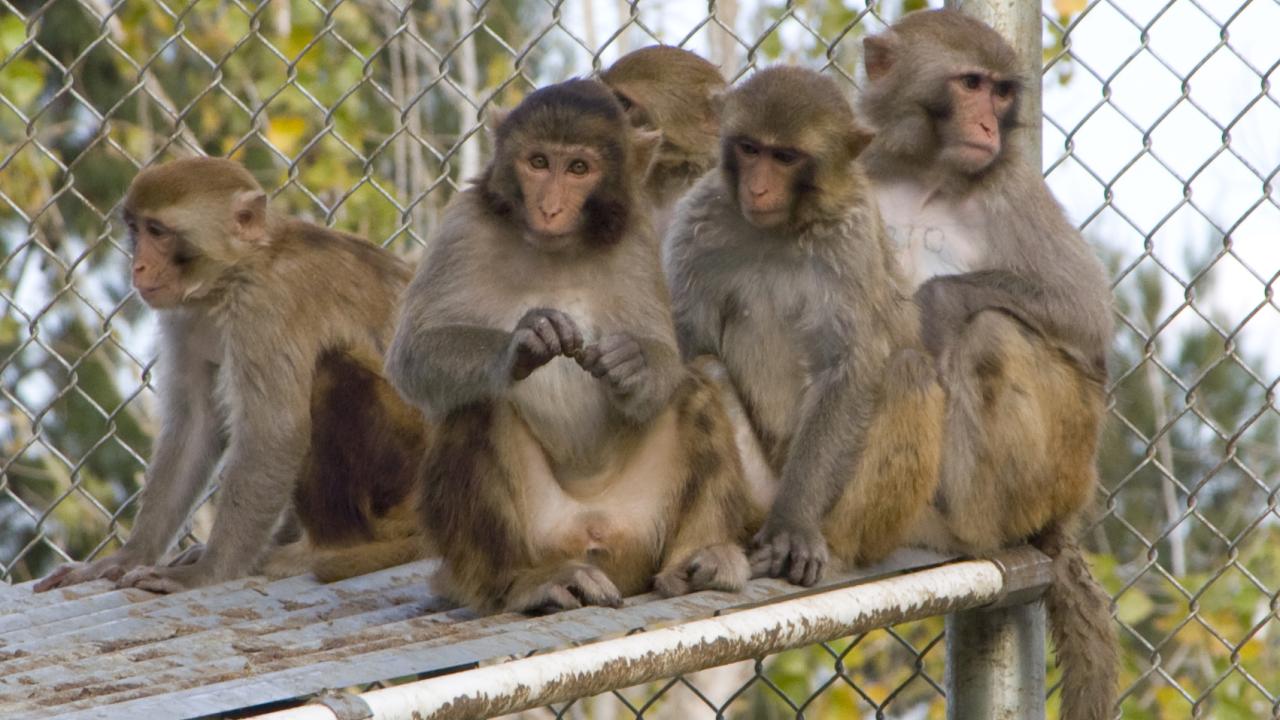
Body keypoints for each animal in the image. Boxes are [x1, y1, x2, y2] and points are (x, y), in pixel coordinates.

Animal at [34, 157, 431, 594]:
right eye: (136, 230)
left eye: (158, 232)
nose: (137, 266)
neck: (237, 273)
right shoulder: (184, 317)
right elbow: (194, 425)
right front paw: (130, 556)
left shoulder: (266, 307)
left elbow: (276, 433)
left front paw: (208, 573)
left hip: (406, 486)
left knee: (333, 371)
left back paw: (320, 549)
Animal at [385, 79, 751, 614]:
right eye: (538, 162)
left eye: (578, 168)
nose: (550, 207)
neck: (556, 247)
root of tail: (590, 526)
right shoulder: (462, 226)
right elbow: (413, 354)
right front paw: (523, 341)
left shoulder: (637, 237)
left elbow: (665, 353)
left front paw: (635, 364)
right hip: (538, 537)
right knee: (478, 403)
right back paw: (526, 581)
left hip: (640, 532)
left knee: (693, 390)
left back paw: (699, 556)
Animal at [663, 65, 945, 587]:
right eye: (750, 148)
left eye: (786, 157)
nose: (757, 189)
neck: (782, 230)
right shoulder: (696, 221)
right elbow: (691, 343)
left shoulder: (851, 240)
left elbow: (847, 368)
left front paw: (793, 527)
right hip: (755, 492)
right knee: (707, 368)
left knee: (907, 371)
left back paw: (834, 548)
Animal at [857, 10, 1118, 720]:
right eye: (970, 84)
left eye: (1001, 92)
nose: (989, 127)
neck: (924, 175)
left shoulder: (1011, 184)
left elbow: (1084, 312)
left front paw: (935, 305)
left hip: (1069, 463)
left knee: (994, 334)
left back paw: (970, 529)